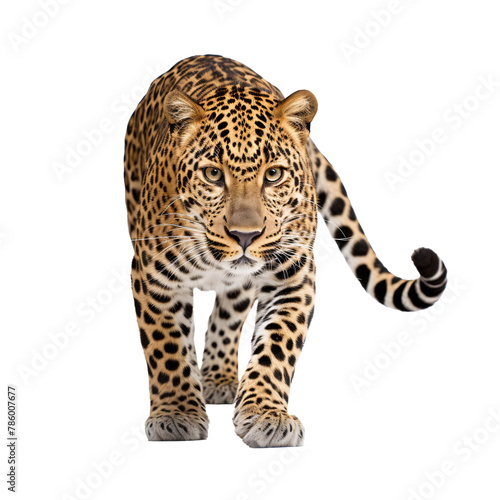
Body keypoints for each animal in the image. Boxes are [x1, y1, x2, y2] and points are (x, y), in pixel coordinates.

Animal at [123, 52, 448, 448]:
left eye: (274, 174)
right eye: (213, 174)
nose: (244, 236)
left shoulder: (293, 278)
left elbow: (276, 347)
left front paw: (267, 415)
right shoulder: (154, 275)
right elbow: (167, 347)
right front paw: (176, 414)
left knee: (228, 314)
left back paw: (218, 378)